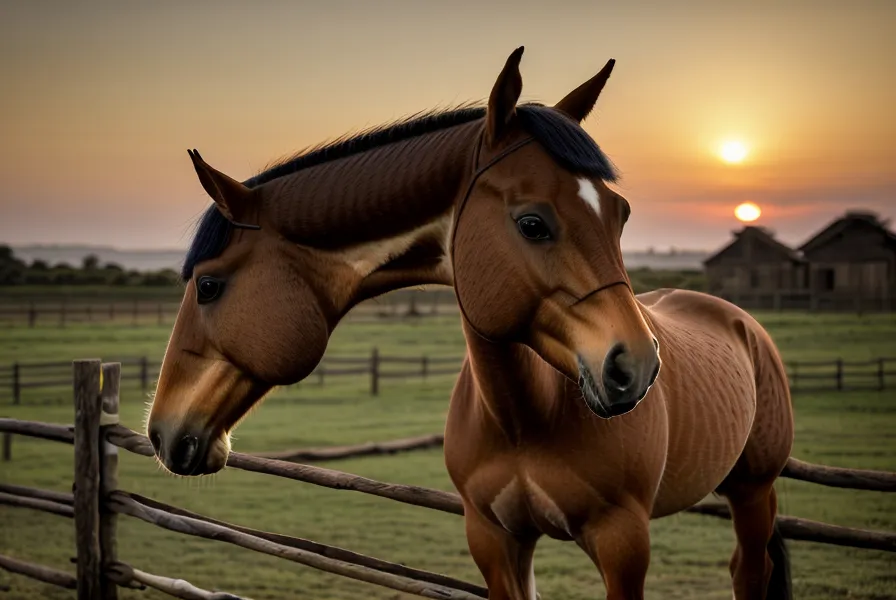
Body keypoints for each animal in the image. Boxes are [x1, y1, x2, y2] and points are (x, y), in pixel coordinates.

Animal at [147, 48, 794, 599]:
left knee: (749, 569)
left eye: (622, 213)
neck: (525, 418)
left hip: (752, 489)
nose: (634, 365)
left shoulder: (623, 544)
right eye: (532, 222)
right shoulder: (493, 538)